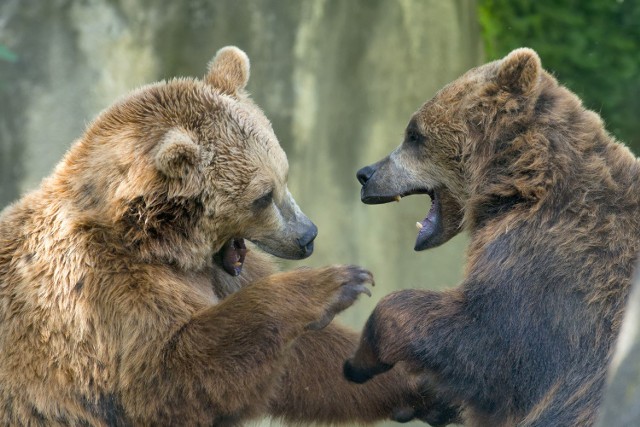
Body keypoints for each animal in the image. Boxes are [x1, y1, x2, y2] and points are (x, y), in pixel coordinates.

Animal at [348, 48, 640, 426]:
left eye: (414, 134)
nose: (365, 174)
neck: (518, 186)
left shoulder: (554, 266)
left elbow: (491, 343)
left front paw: (363, 357)